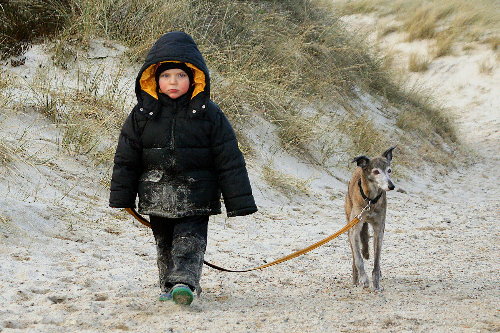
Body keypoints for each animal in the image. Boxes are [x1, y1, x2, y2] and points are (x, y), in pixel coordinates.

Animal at [344, 147, 394, 290]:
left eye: (389, 170)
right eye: (376, 171)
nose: (391, 186)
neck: (370, 201)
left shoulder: (379, 230)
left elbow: (377, 260)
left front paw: (376, 283)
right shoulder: (354, 230)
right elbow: (359, 259)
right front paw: (363, 278)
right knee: (355, 256)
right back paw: (355, 278)